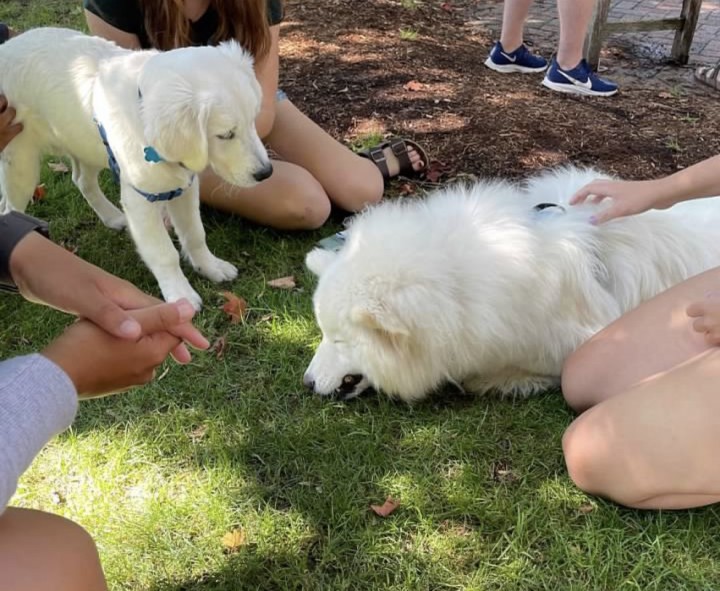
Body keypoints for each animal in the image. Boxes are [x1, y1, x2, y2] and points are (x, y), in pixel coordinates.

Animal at [0, 26, 272, 310]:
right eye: (225, 135)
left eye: (253, 120)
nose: (266, 173)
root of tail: (5, 47)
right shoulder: (142, 198)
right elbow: (164, 252)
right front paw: (180, 295)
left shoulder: (184, 187)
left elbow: (195, 233)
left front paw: (210, 266)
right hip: (21, 161)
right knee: (9, 208)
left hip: (84, 146)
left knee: (82, 180)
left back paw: (111, 216)